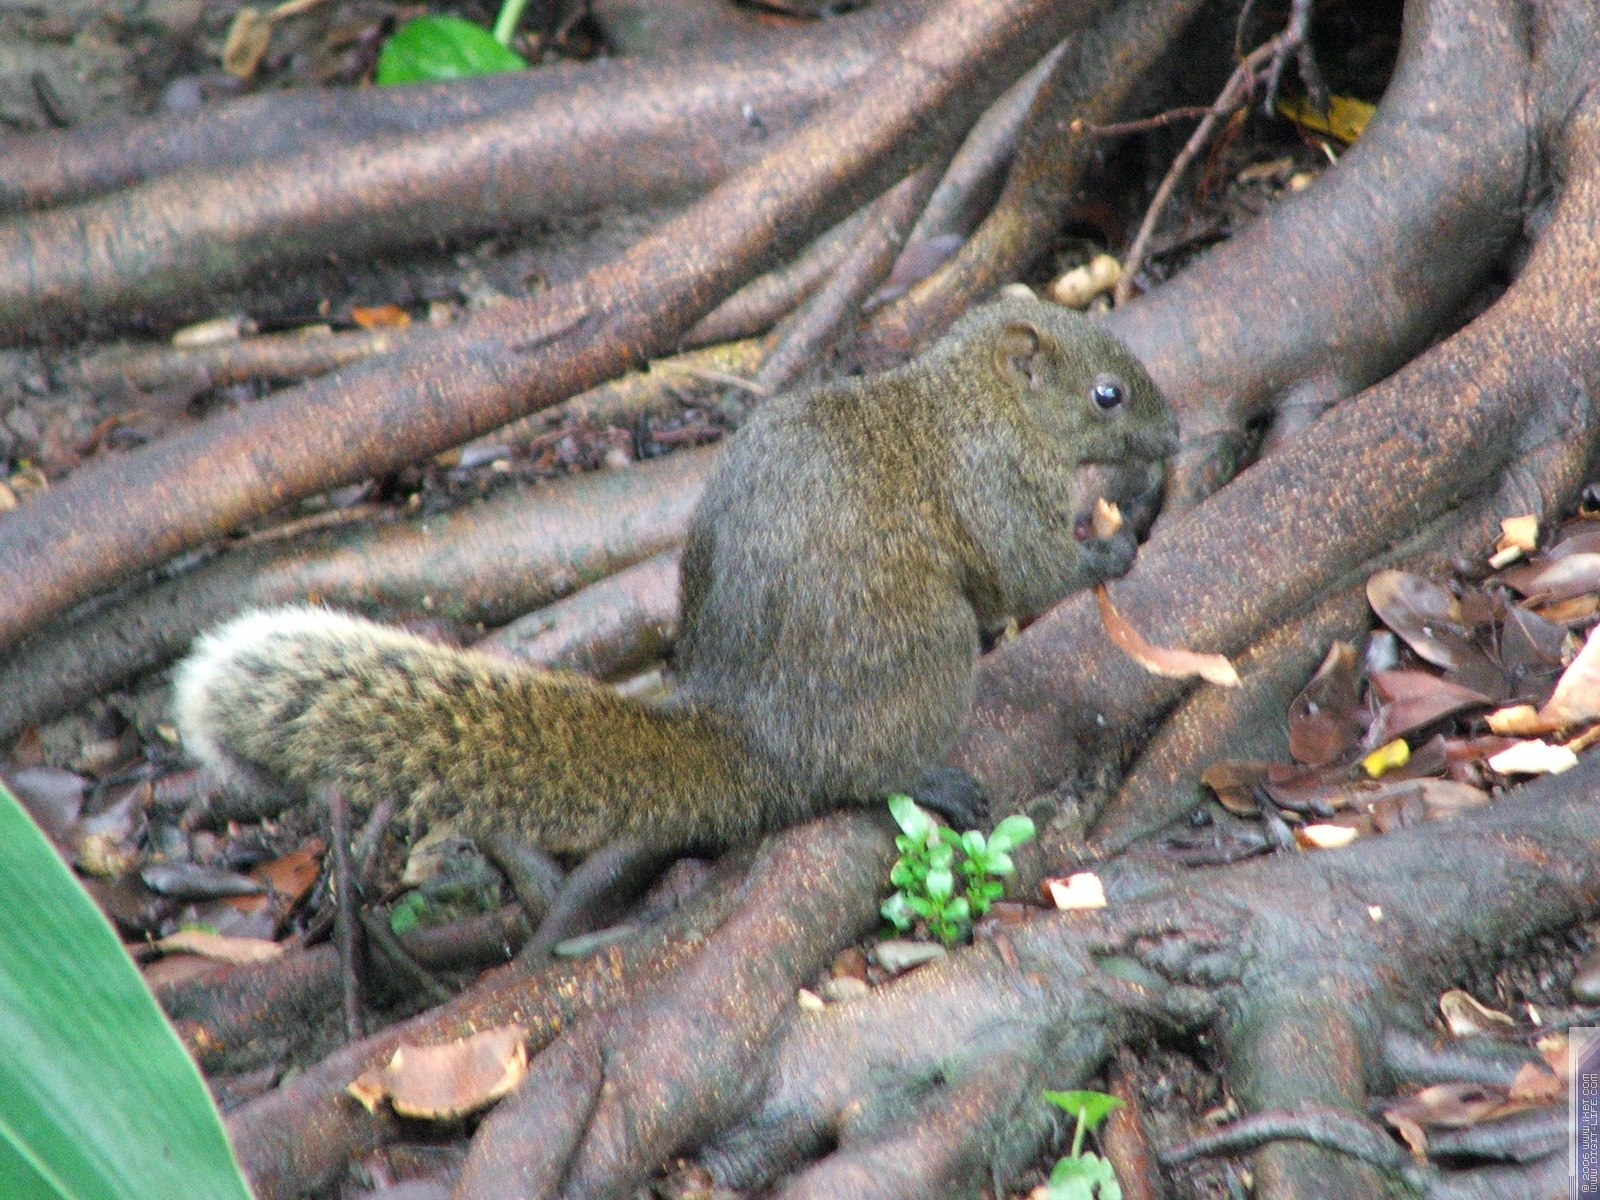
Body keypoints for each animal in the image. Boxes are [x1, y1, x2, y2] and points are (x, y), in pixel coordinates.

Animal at [173, 291, 1177, 856]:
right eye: (1107, 394)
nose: (1172, 439)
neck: (972, 400)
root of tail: (755, 739)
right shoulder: (989, 483)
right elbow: (1027, 573)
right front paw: (1113, 545)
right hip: (923, 652)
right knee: (854, 775)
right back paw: (929, 779)